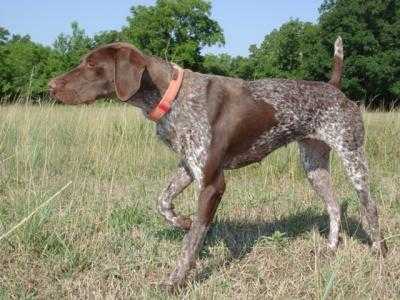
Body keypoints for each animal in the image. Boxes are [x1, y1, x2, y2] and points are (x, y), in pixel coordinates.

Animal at [49, 37, 388, 288]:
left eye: (91, 65)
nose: (51, 86)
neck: (172, 95)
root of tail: (334, 87)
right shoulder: (189, 167)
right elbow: (162, 202)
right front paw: (181, 220)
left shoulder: (213, 183)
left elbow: (192, 242)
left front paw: (175, 281)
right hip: (314, 165)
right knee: (333, 206)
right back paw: (331, 248)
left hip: (353, 158)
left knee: (370, 208)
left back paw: (380, 252)